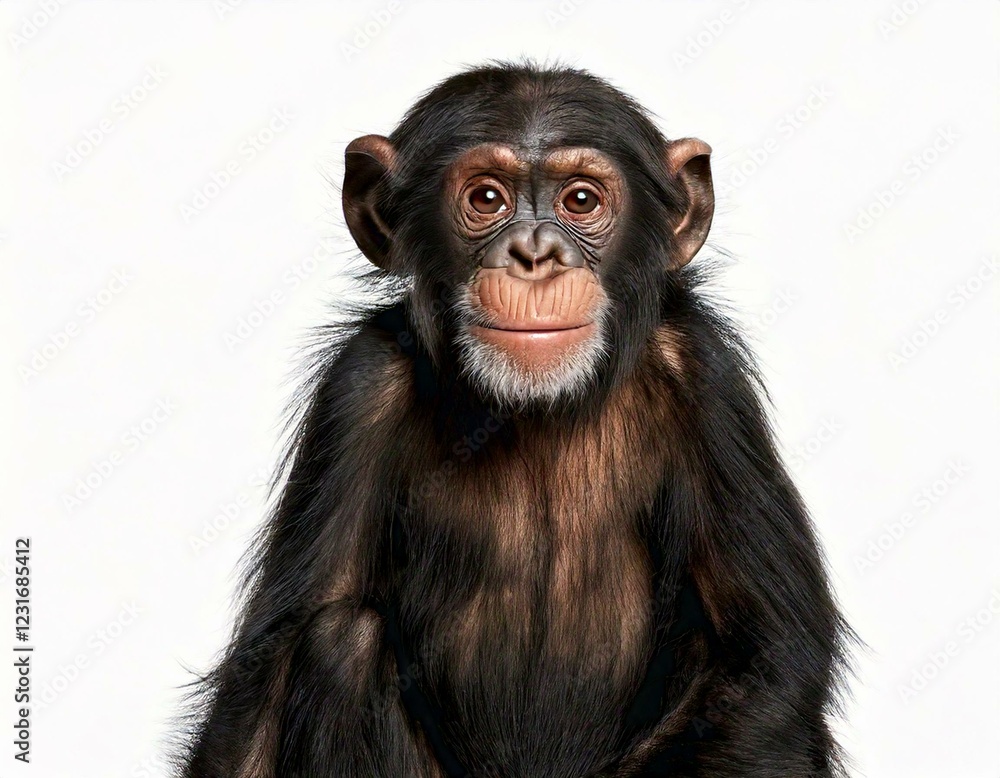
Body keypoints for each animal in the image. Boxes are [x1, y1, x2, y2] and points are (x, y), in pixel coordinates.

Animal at [180, 62, 849, 778]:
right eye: (487, 198)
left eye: (580, 201)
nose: (535, 253)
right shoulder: (357, 391)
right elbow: (264, 685)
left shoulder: (709, 385)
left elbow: (763, 661)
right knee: (340, 641)